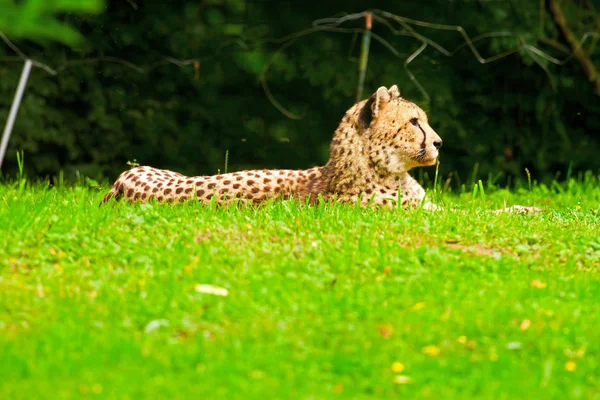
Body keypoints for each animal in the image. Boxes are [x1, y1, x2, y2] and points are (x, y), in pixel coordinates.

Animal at [102, 85, 544, 212]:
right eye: (414, 122)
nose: (438, 142)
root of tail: (123, 180)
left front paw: (530, 207)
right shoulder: (419, 215)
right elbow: (477, 213)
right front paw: (533, 211)